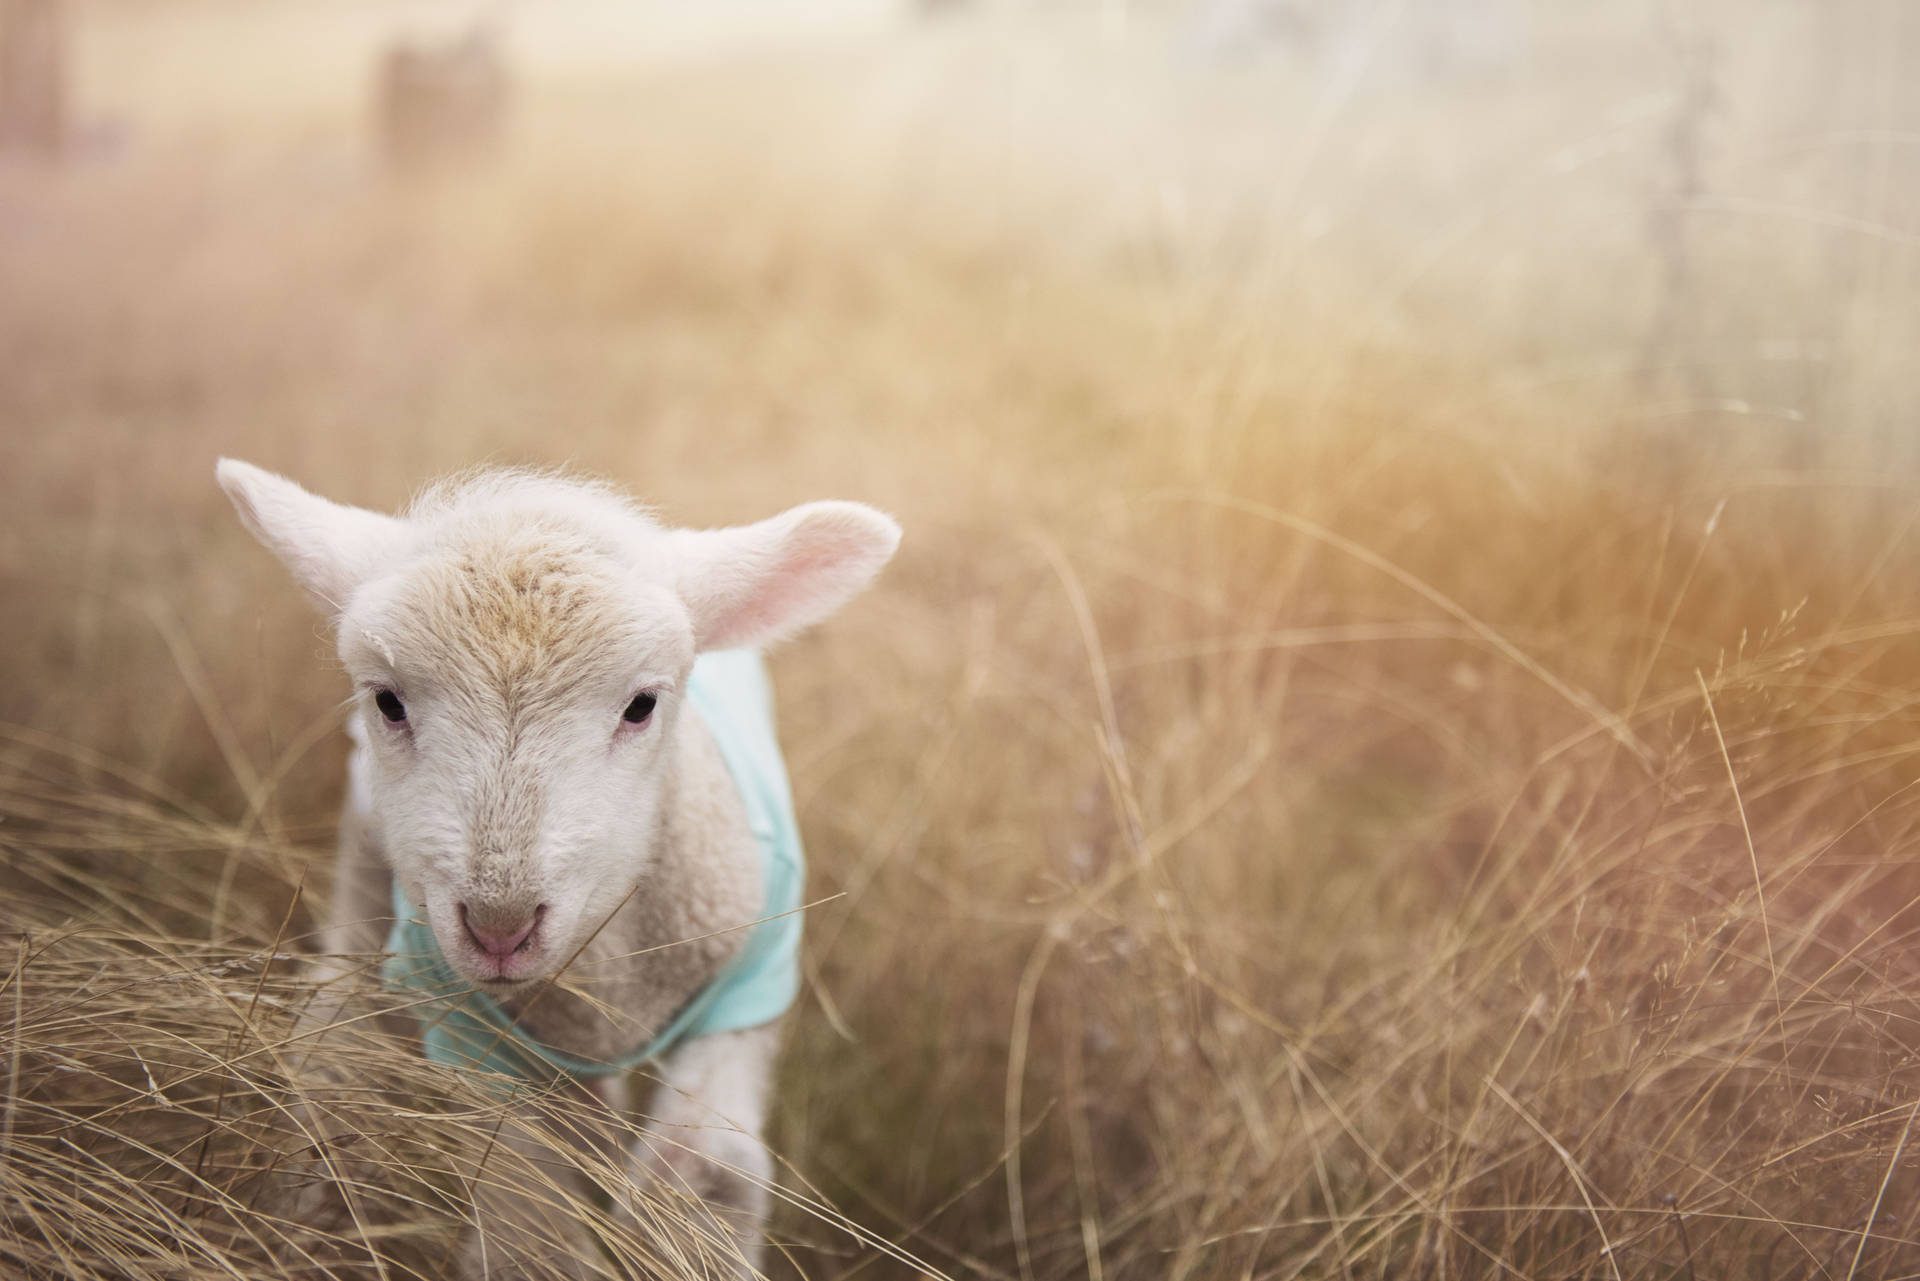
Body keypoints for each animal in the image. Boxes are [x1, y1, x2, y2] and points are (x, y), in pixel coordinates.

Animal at [214, 459, 902, 1275]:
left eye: (642, 705)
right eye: (387, 701)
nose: (499, 925)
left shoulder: (745, 991)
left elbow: (704, 1179)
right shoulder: (485, 1039)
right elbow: (527, 1227)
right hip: (365, 874)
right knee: (336, 1044)